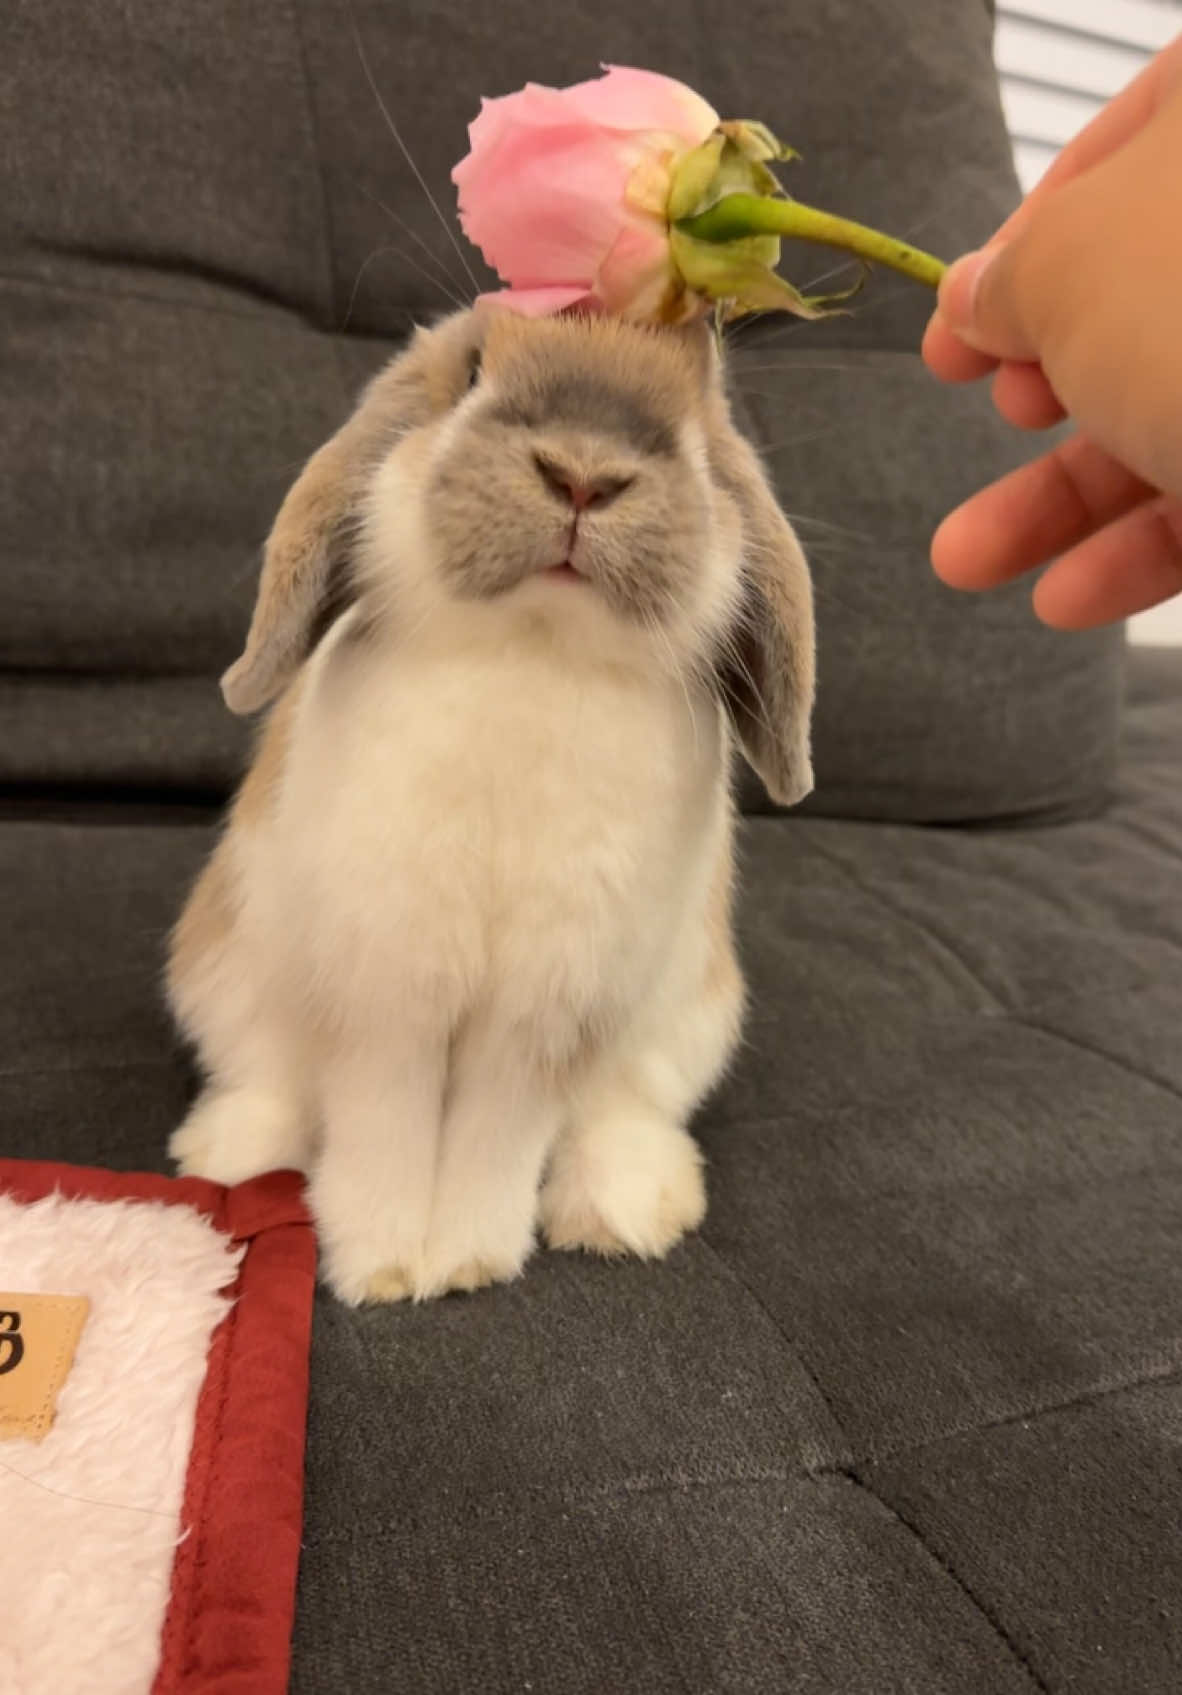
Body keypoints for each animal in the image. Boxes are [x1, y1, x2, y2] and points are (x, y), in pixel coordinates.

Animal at [166, 306, 814, 1304]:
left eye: (703, 418)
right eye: (473, 371)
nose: (584, 473)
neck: (534, 645)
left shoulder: (546, 1008)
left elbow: (496, 1135)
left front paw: (468, 1258)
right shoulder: (389, 987)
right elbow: (382, 1121)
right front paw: (382, 1263)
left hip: (686, 1023)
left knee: (623, 1116)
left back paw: (625, 1211)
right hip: (227, 976)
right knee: (270, 1081)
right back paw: (228, 1152)